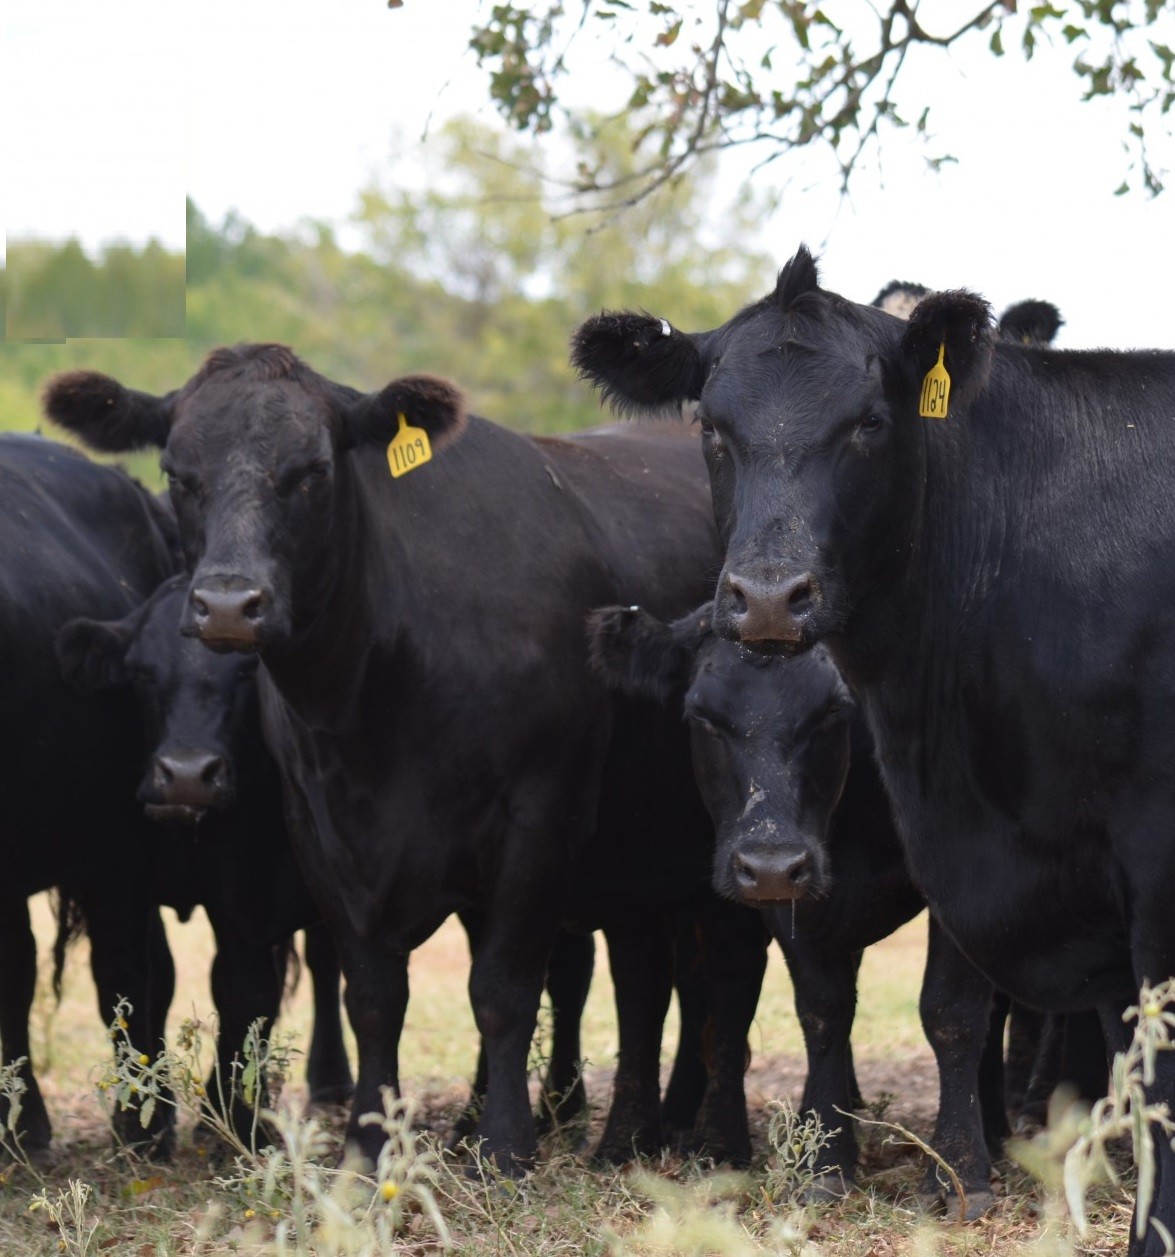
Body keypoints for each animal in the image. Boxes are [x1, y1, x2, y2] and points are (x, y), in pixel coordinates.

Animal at [56, 578, 354, 1141]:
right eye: (140, 671)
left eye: (246, 672)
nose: (188, 775)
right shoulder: (192, 890)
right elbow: (195, 984)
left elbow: (251, 992)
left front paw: (233, 1114)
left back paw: (330, 1082)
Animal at [588, 603, 1000, 1211]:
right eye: (702, 715)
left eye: (834, 709)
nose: (771, 863)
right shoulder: (790, 902)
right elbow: (824, 1011)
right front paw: (826, 1158)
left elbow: (951, 1014)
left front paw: (958, 1171)